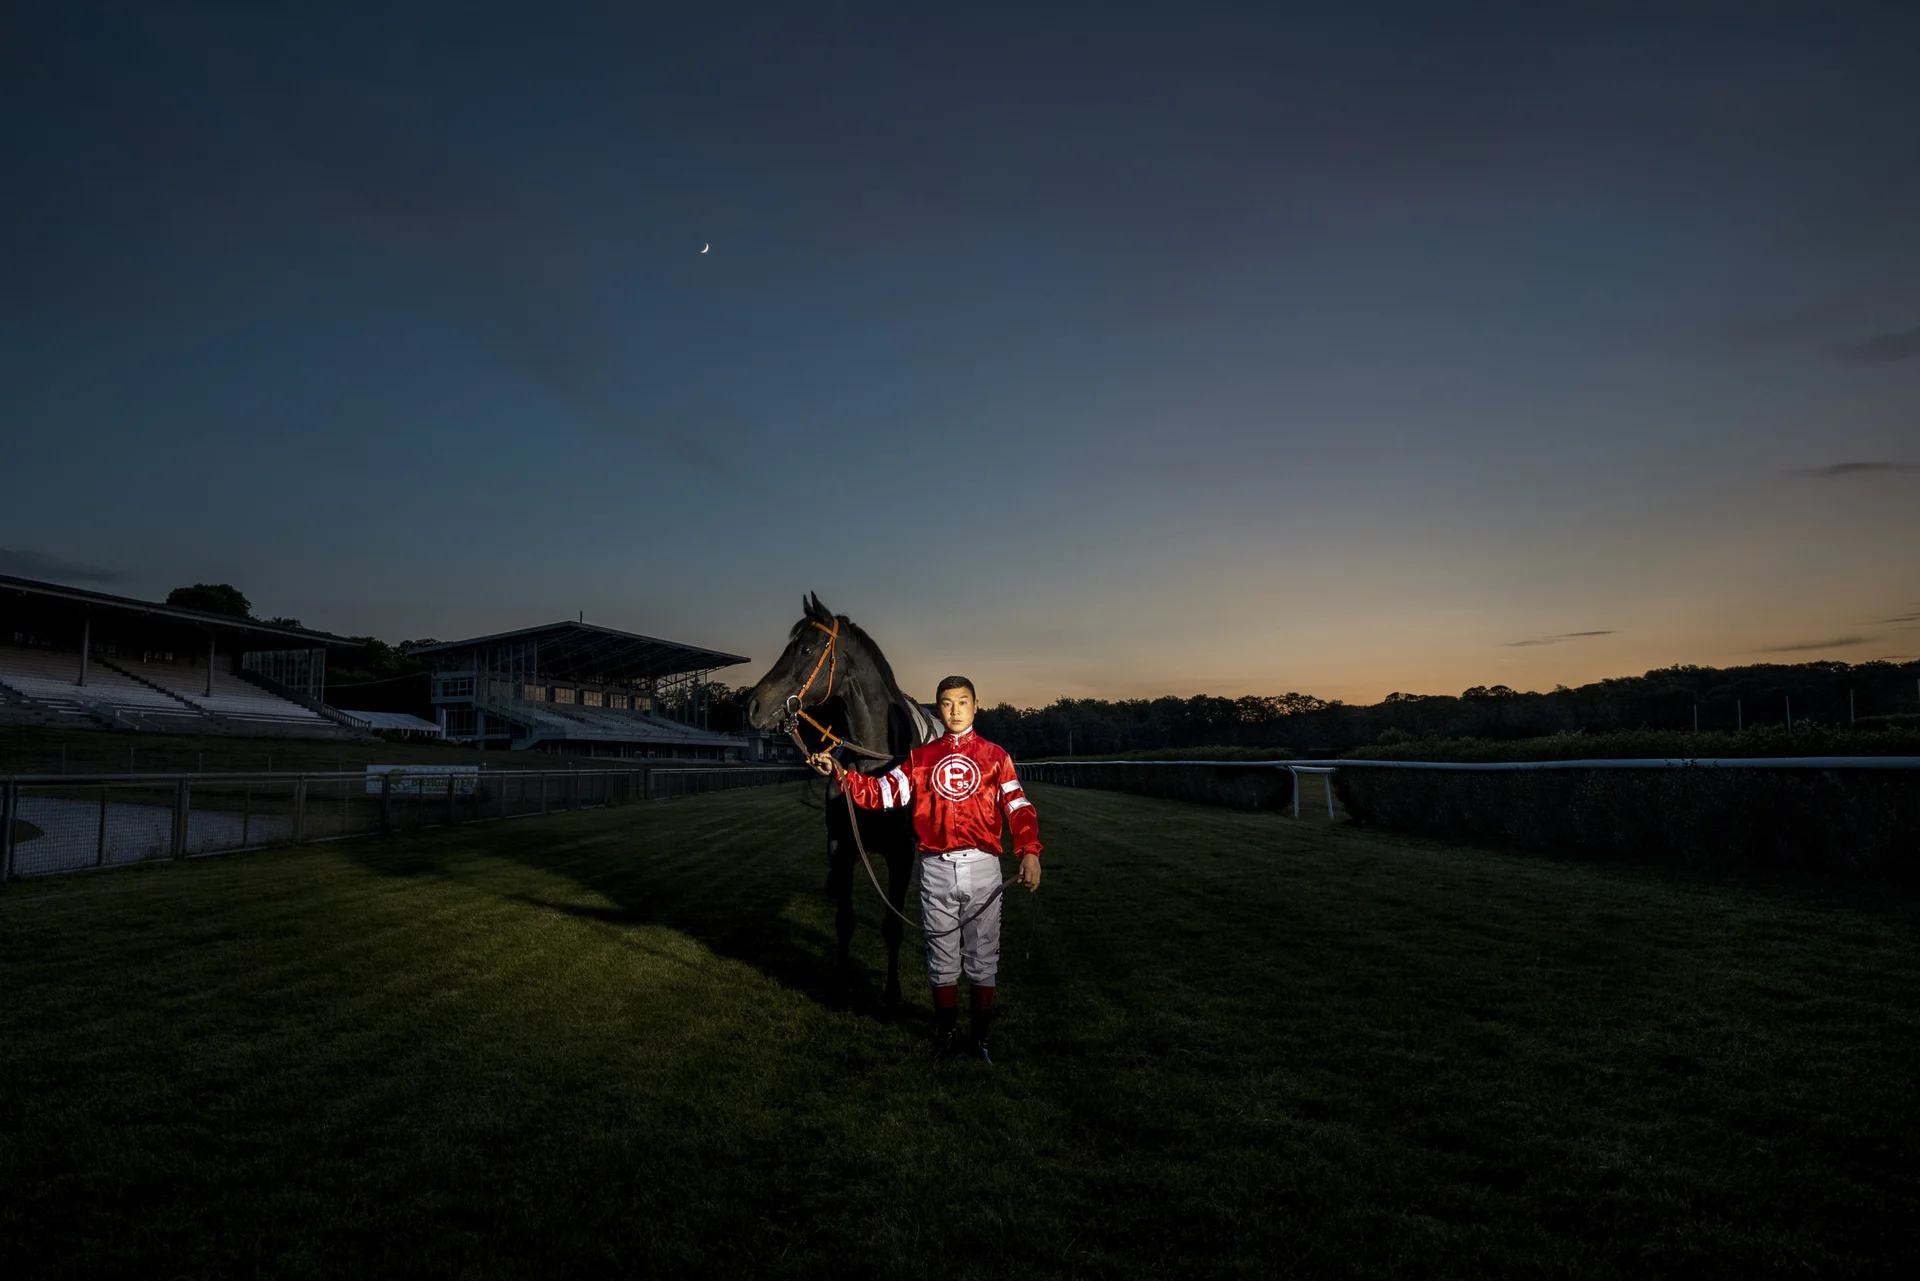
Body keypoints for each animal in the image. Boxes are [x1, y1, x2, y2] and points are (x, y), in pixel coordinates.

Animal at [741, 595, 936, 1014]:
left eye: (806, 649)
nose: (753, 706)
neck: (876, 762)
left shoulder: (900, 854)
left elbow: (892, 924)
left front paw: (891, 994)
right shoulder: (841, 847)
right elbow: (844, 921)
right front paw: (840, 986)